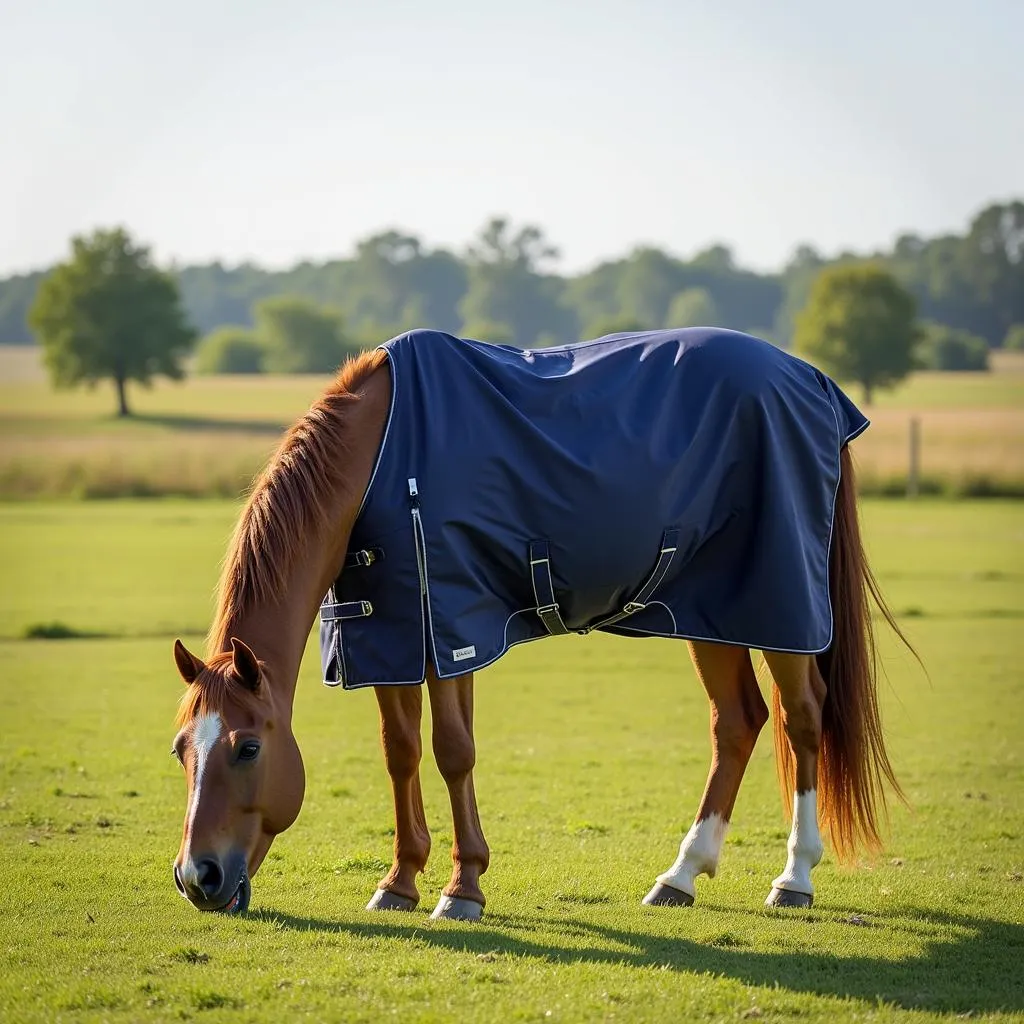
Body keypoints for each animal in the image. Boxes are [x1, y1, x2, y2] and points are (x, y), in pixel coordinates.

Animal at [169, 327, 913, 921]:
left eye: (247, 748)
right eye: (181, 750)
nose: (198, 877)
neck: (381, 456)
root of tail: (811, 381)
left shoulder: (451, 628)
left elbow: (452, 751)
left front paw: (462, 889)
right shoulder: (393, 635)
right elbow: (401, 752)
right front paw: (401, 882)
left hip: (778, 604)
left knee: (804, 716)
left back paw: (794, 877)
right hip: (710, 610)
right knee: (738, 722)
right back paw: (681, 875)